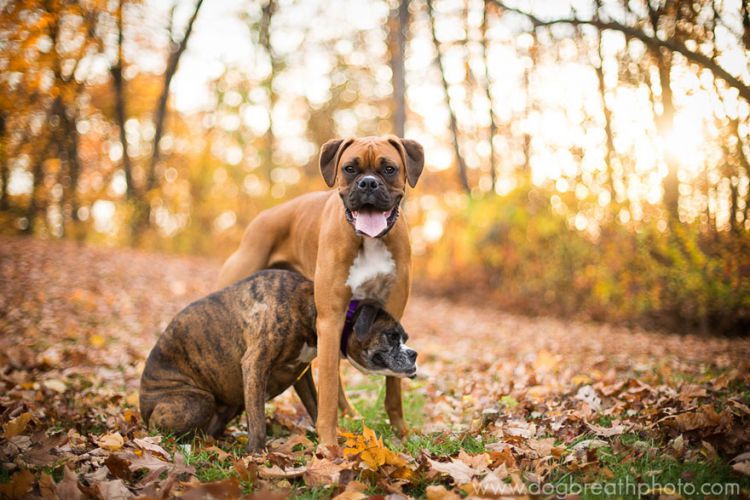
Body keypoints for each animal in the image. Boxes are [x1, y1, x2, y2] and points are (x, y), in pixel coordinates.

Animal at [139, 272, 420, 452]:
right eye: (392, 335)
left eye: (404, 338)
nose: (414, 354)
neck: (313, 308)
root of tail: (142, 408)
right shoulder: (255, 364)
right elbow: (258, 421)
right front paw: (257, 455)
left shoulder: (302, 374)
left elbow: (316, 406)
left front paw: (331, 443)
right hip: (196, 402)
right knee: (163, 425)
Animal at [217, 136, 426, 446]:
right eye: (350, 168)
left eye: (389, 169)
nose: (368, 183)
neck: (370, 241)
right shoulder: (330, 318)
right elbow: (325, 390)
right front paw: (328, 445)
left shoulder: (391, 314)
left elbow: (393, 387)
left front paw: (402, 431)